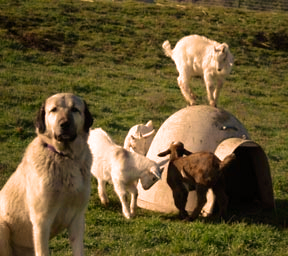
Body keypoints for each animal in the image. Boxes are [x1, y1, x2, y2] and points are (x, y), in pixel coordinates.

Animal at [0, 93, 93, 256]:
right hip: (2, 227)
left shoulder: (77, 219)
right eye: (53, 110)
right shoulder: (41, 221)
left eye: (75, 109)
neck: (64, 157)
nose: (64, 124)